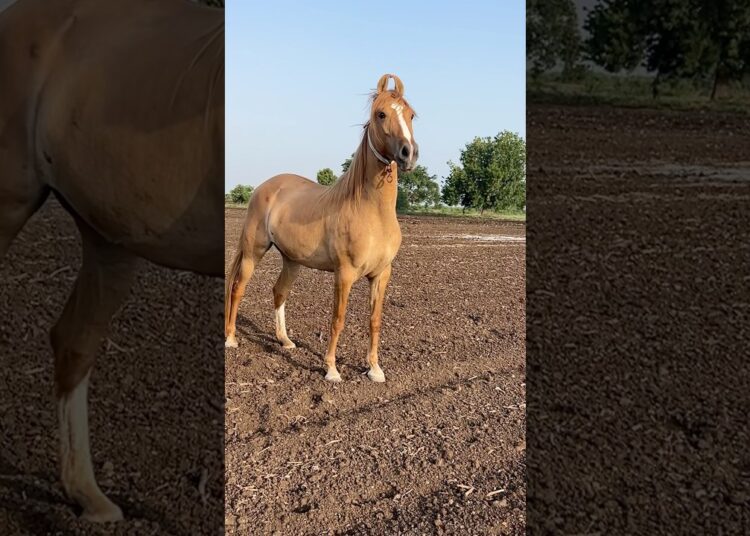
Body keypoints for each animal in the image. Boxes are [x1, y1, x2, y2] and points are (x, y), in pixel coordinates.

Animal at [225, 74, 419, 384]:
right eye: (381, 114)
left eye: (411, 115)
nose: (408, 153)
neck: (371, 213)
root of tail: (265, 187)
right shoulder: (345, 274)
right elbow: (337, 319)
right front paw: (331, 369)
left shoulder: (381, 275)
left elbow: (375, 320)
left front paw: (375, 369)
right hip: (254, 251)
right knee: (238, 288)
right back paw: (231, 338)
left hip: (292, 260)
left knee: (279, 292)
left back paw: (285, 340)